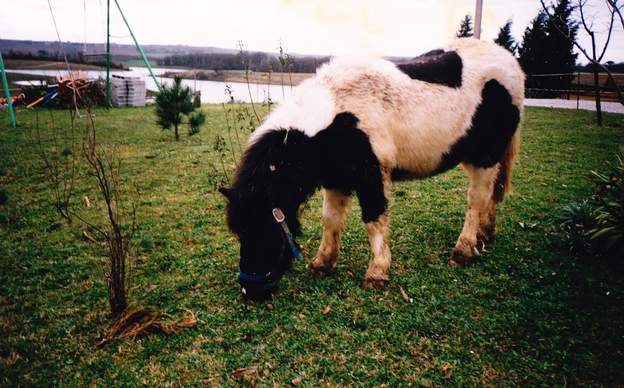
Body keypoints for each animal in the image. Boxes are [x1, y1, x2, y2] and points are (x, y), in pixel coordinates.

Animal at [219, 38, 520, 300]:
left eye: (263, 225)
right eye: (239, 231)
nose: (250, 291)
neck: (338, 118)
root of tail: (510, 63)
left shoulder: (372, 175)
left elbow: (373, 220)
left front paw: (377, 272)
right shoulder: (336, 178)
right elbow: (331, 220)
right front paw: (322, 263)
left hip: (486, 157)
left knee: (477, 199)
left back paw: (464, 249)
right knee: (489, 195)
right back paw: (486, 234)